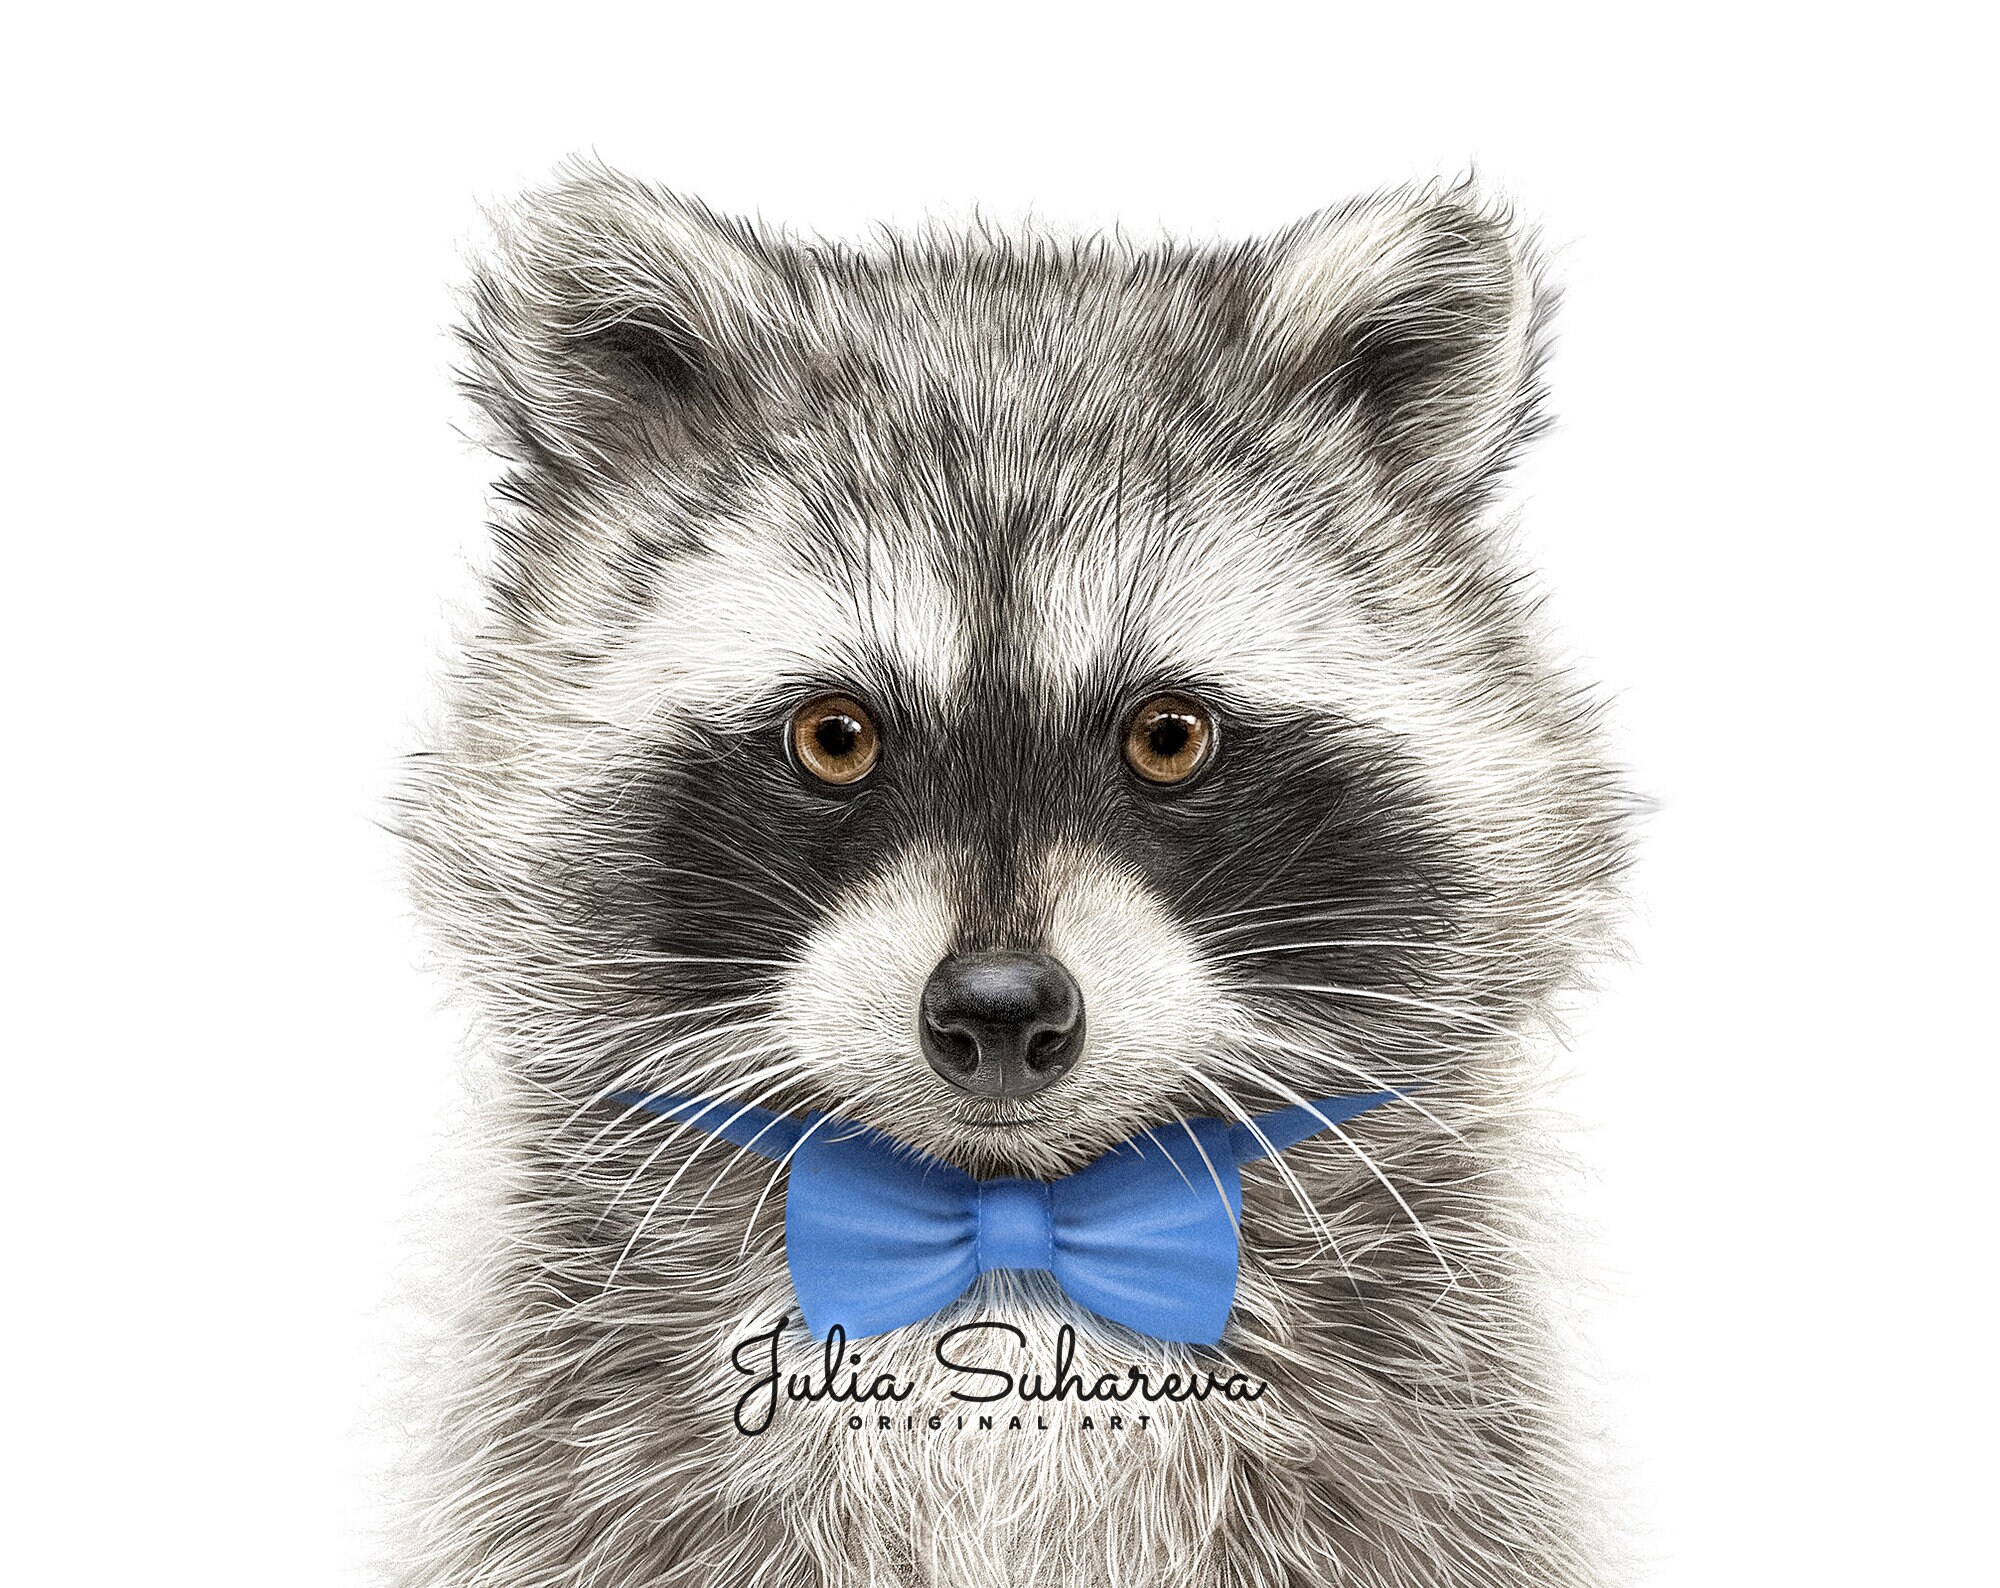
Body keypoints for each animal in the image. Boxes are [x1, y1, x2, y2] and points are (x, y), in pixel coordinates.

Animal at [398, 162, 1630, 1588]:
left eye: (1168, 735)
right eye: (834, 736)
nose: (996, 1010)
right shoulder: (590, 1455)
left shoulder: (1420, 1454)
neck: (1007, 1237)